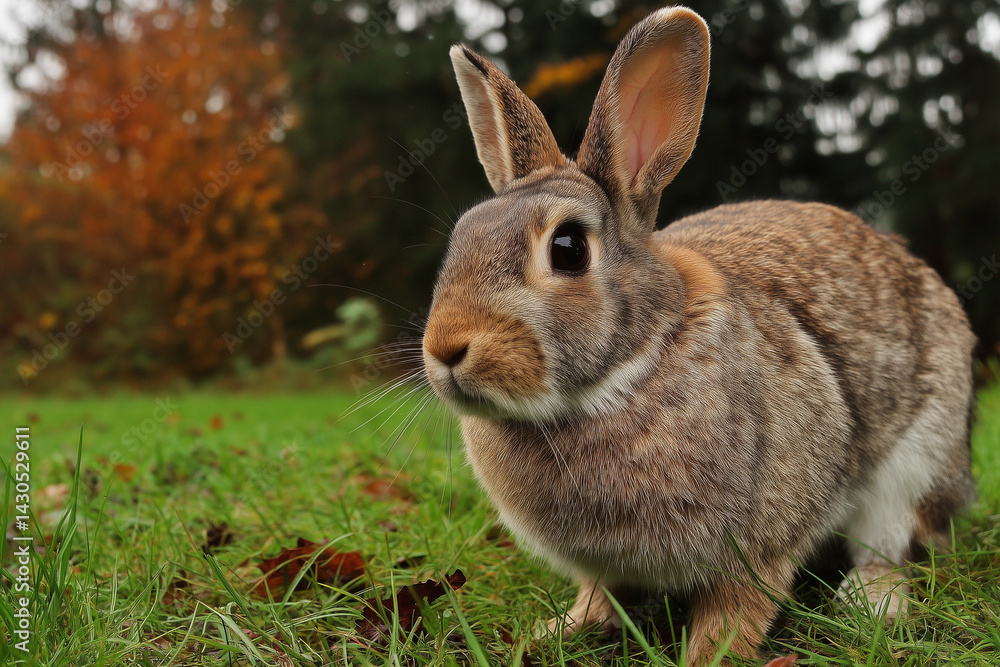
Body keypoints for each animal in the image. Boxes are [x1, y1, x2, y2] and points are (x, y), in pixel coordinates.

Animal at [420, 6, 976, 665]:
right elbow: (598, 597)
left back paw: (871, 603)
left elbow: (737, 611)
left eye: (568, 248)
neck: (634, 364)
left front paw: (708, 656)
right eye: (461, 235)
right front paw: (557, 632)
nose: (445, 349)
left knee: (894, 542)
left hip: (917, 463)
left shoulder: (761, 544)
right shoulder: (604, 570)